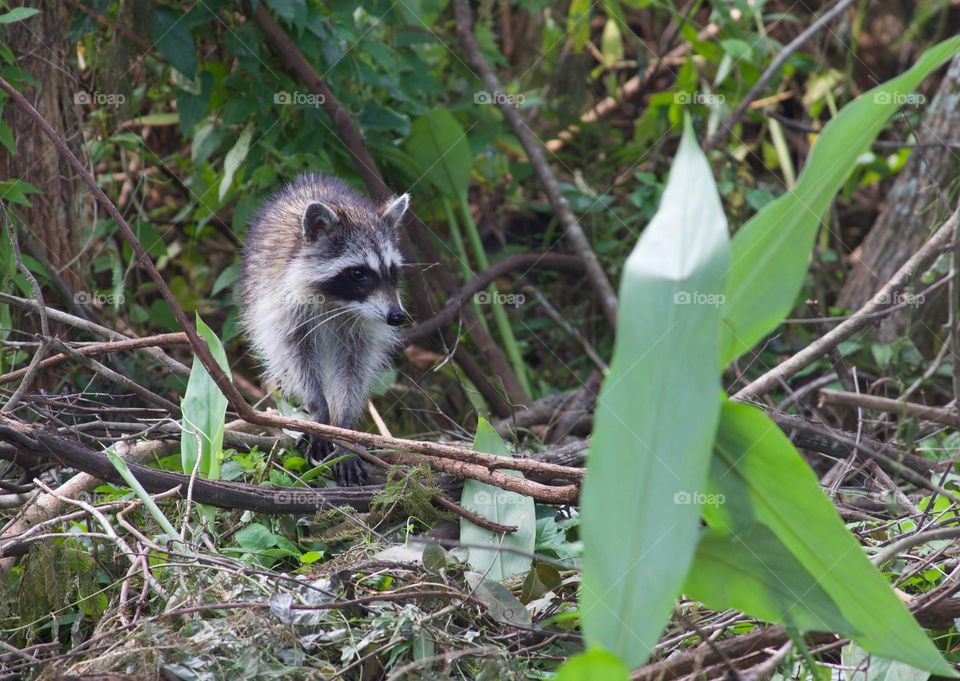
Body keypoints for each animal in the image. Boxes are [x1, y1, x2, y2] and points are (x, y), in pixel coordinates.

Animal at [239, 173, 409, 486]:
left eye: (392, 271)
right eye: (359, 273)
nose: (396, 317)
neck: (338, 302)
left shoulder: (363, 329)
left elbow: (354, 368)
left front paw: (344, 428)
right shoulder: (281, 304)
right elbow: (295, 355)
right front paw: (320, 411)